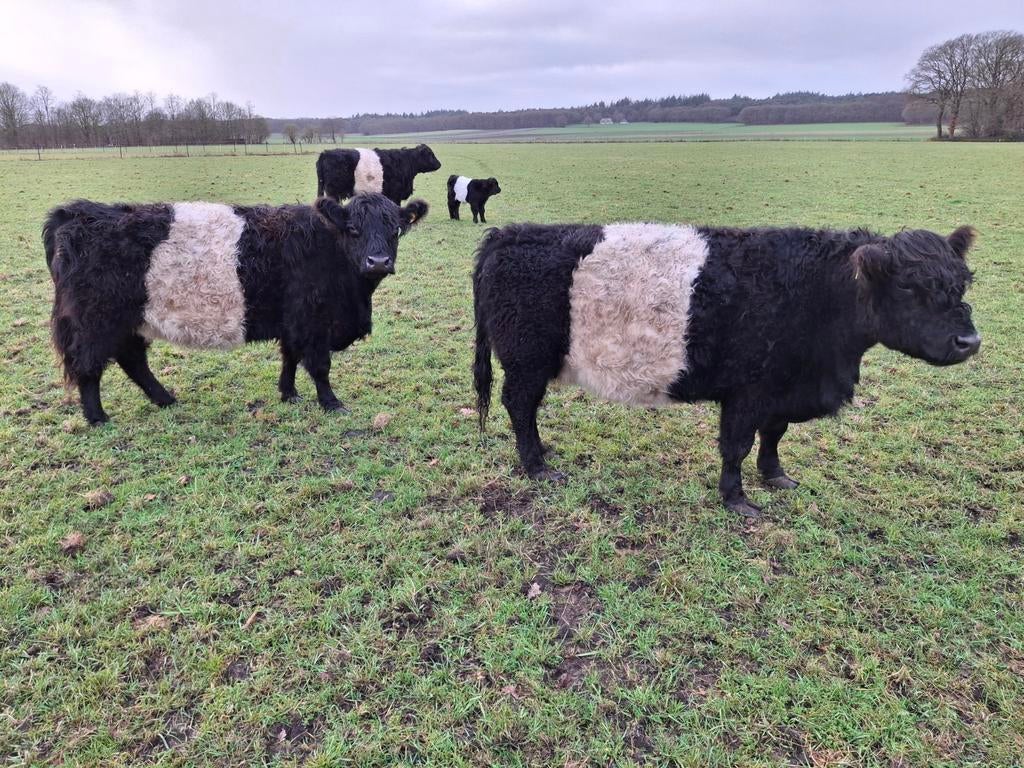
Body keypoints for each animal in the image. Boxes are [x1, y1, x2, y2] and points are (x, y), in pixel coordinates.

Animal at [44, 194, 428, 425]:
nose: (378, 261)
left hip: (128, 322)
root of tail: (79, 212)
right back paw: (98, 418)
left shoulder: (294, 322)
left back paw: (165, 399)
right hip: (95, 322)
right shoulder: (313, 321)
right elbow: (319, 366)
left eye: (396, 230)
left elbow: (290, 357)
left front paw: (289, 394)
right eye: (353, 229)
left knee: (133, 361)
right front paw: (332, 403)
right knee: (89, 367)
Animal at [472, 222, 981, 517]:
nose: (969, 342)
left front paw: (776, 476)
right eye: (910, 288)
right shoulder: (747, 391)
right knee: (520, 407)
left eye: (962, 282)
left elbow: (773, 435)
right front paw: (737, 499)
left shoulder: (781, 387)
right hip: (526, 359)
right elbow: (736, 446)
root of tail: (507, 233)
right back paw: (538, 467)